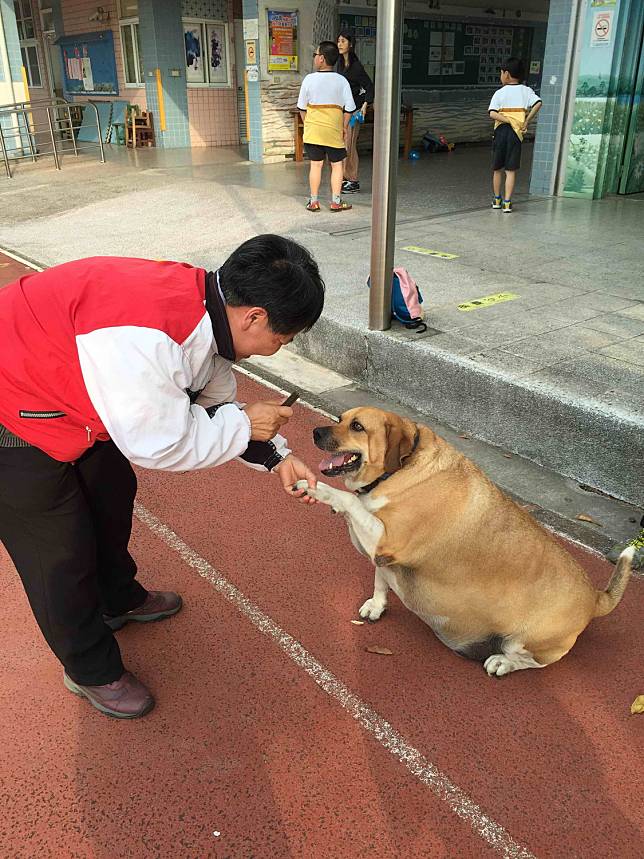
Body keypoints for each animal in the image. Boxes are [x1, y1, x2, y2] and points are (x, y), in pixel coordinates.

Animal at [296, 406, 632, 676]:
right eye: (341, 419)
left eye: (357, 426)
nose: (315, 431)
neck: (401, 468)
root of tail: (595, 597)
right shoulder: (382, 554)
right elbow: (380, 578)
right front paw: (376, 606)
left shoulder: (386, 542)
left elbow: (350, 501)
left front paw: (318, 489)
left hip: (529, 641)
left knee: (530, 661)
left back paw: (501, 663)